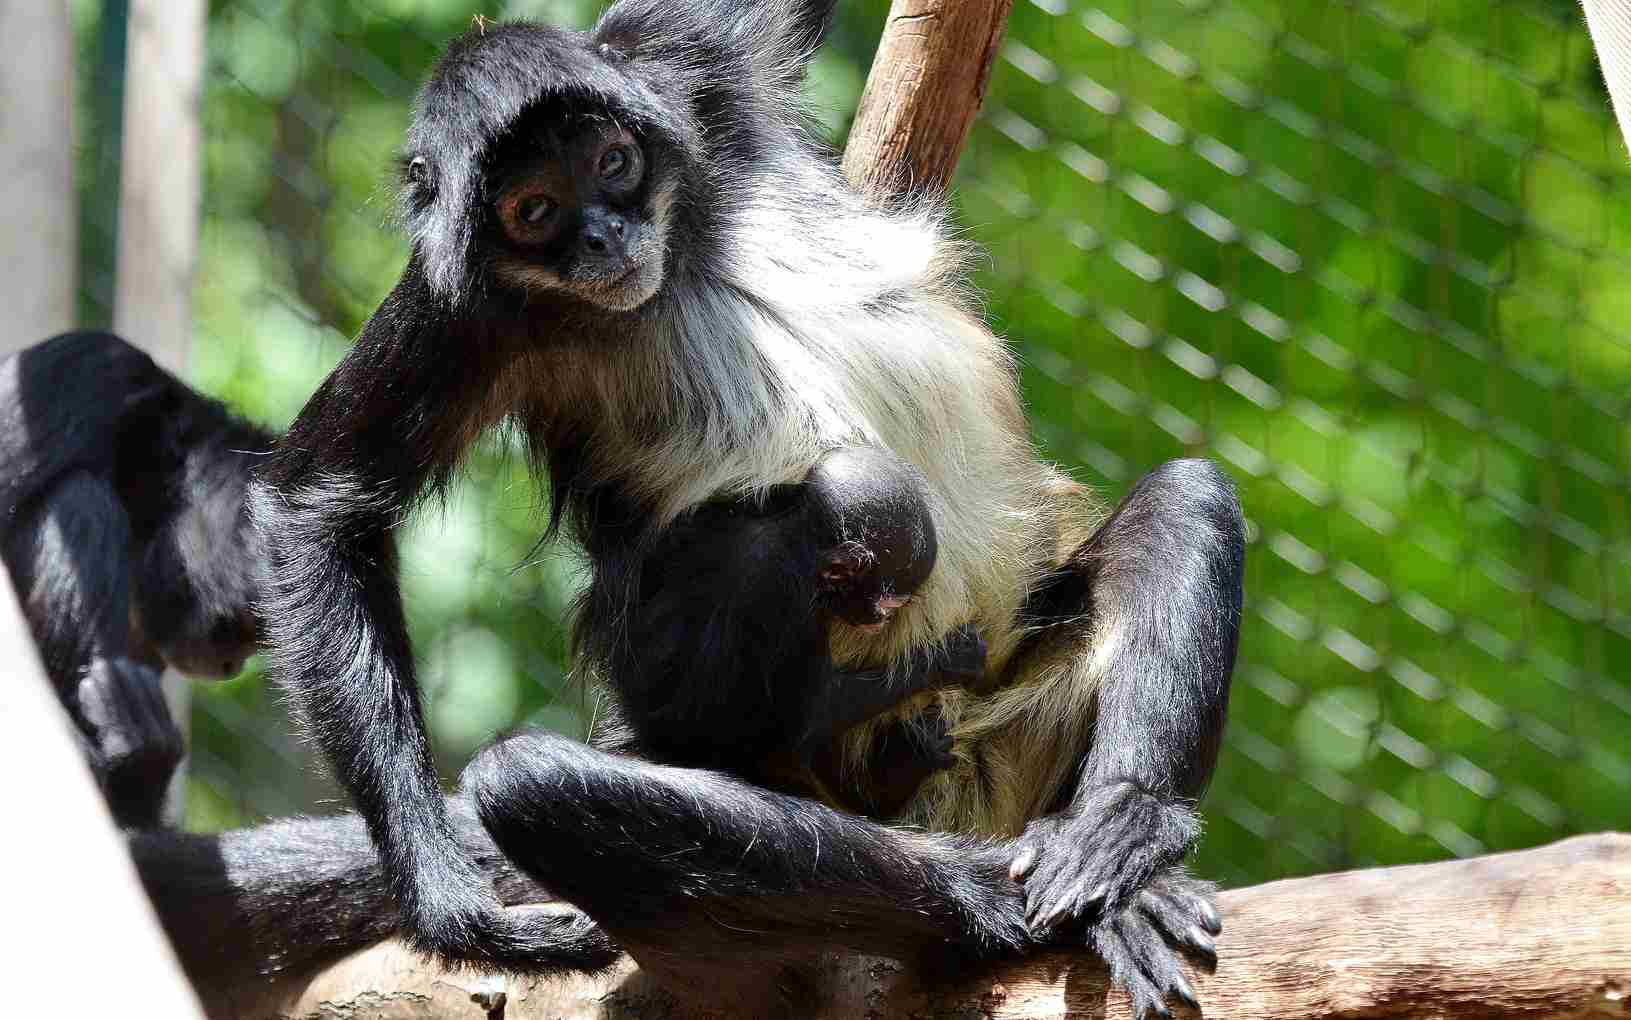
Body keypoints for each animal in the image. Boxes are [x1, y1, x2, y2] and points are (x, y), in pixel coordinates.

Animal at [254, 3, 1239, 1011]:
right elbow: (318, 506)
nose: (603, 236)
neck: (675, 252)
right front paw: (446, 903)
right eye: (534, 212)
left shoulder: (684, 62)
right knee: (537, 771)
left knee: (1186, 499)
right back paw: (981, 900)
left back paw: (1121, 845)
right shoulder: (463, 306)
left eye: (613, 163)